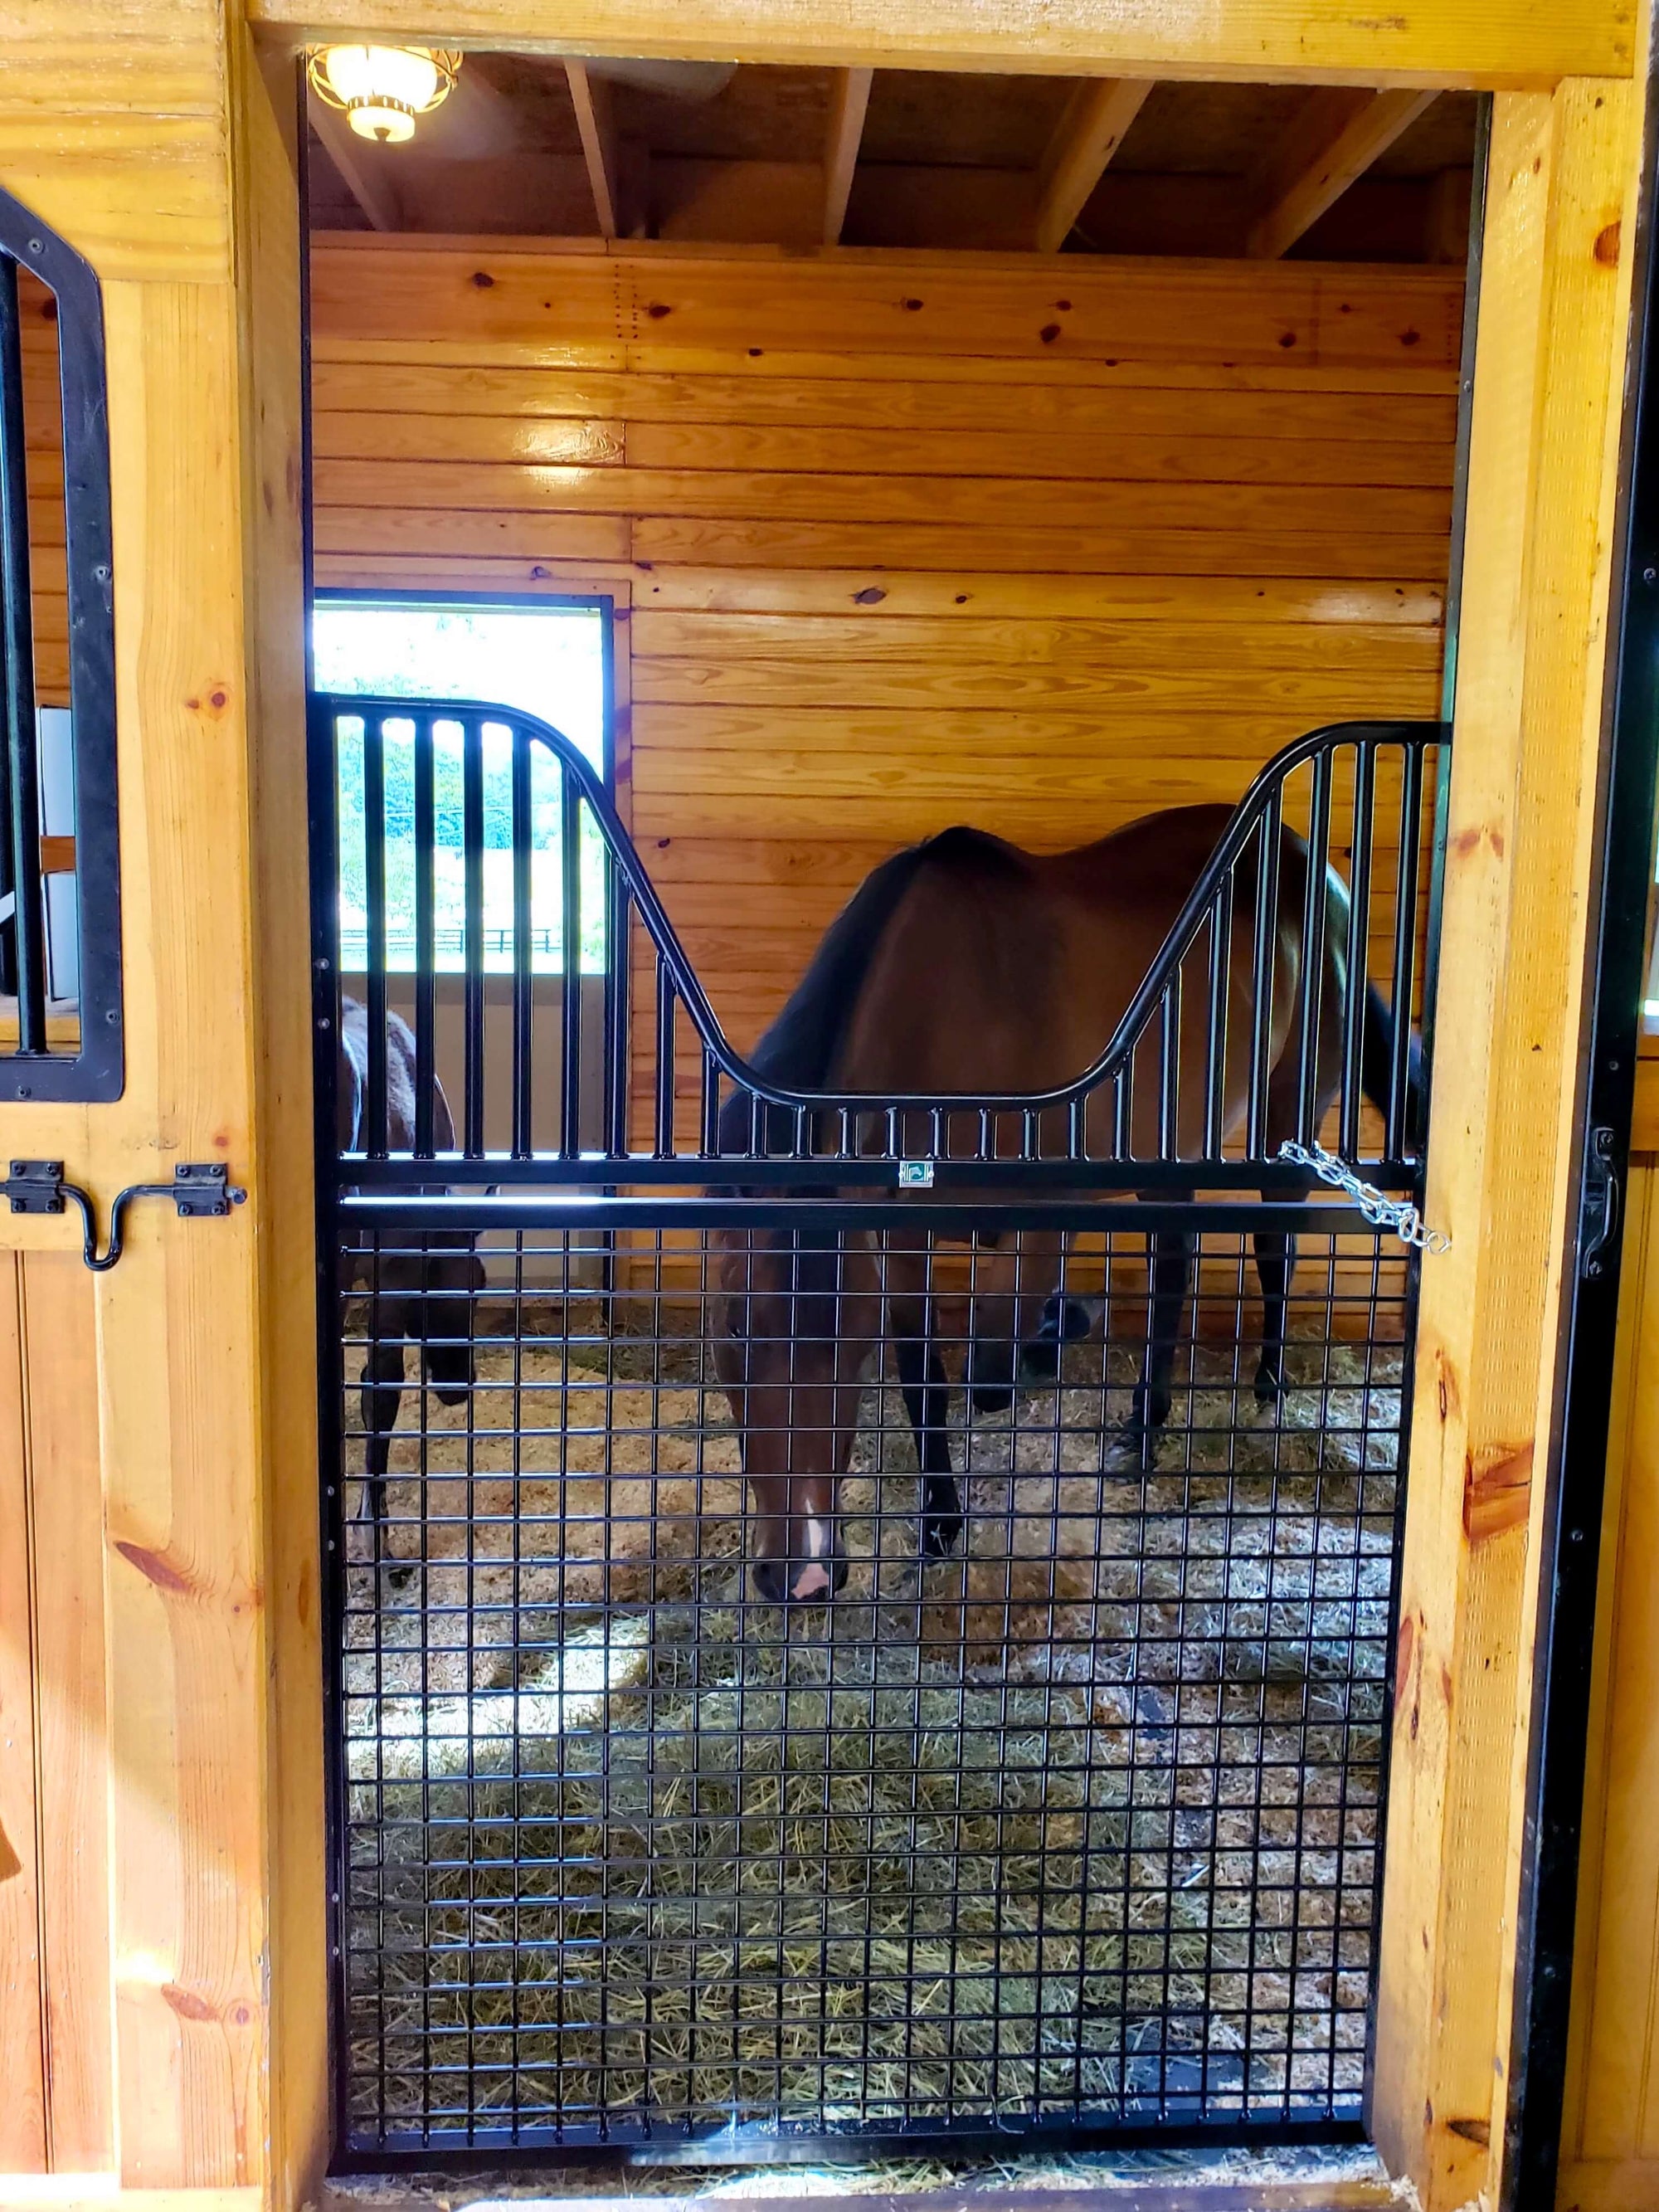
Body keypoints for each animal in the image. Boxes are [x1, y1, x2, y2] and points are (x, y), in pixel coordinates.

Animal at [708, 805, 1424, 1601]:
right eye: (732, 1330)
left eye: (842, 1340)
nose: (798, 1575)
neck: (939, 1015)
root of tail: (1319, 873)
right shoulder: (898, 1236)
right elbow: (927, 1379)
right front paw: (939, 1522)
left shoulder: (1039, 1217)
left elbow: (990, 1375)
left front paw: (1056, 1333)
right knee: (1175, 1268)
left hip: (1286, 1115)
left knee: (1272, 1252)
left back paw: (1249, 1391)